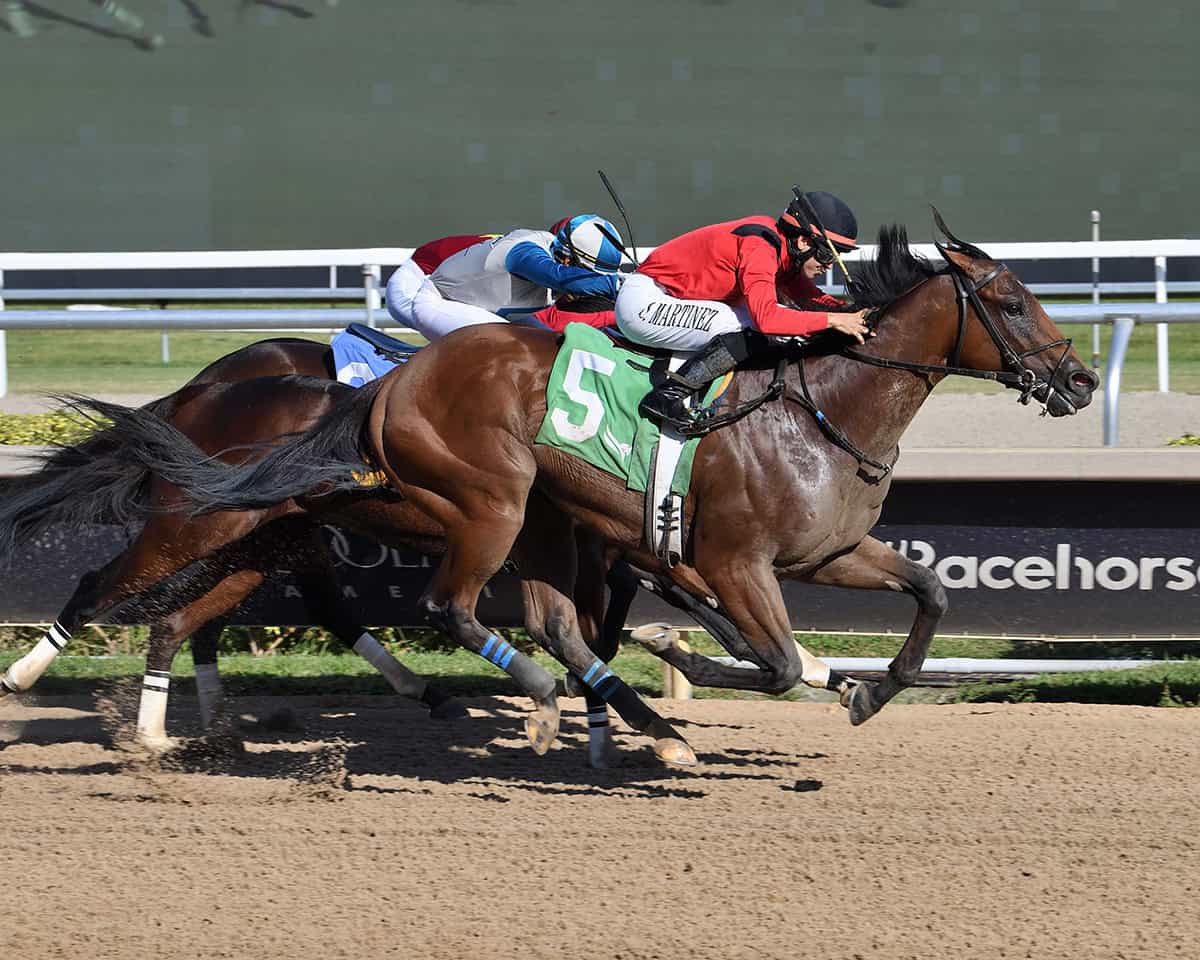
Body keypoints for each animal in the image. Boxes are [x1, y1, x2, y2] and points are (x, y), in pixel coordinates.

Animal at [117, 216, 1098, 750]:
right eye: (1012, 303)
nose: (1081, 380)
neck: (824, 408)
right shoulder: (728, 559)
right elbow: (769, 658)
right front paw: (687, 666)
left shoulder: (826, 551)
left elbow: (930, 592)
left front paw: (868, 686)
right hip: (482, 505)